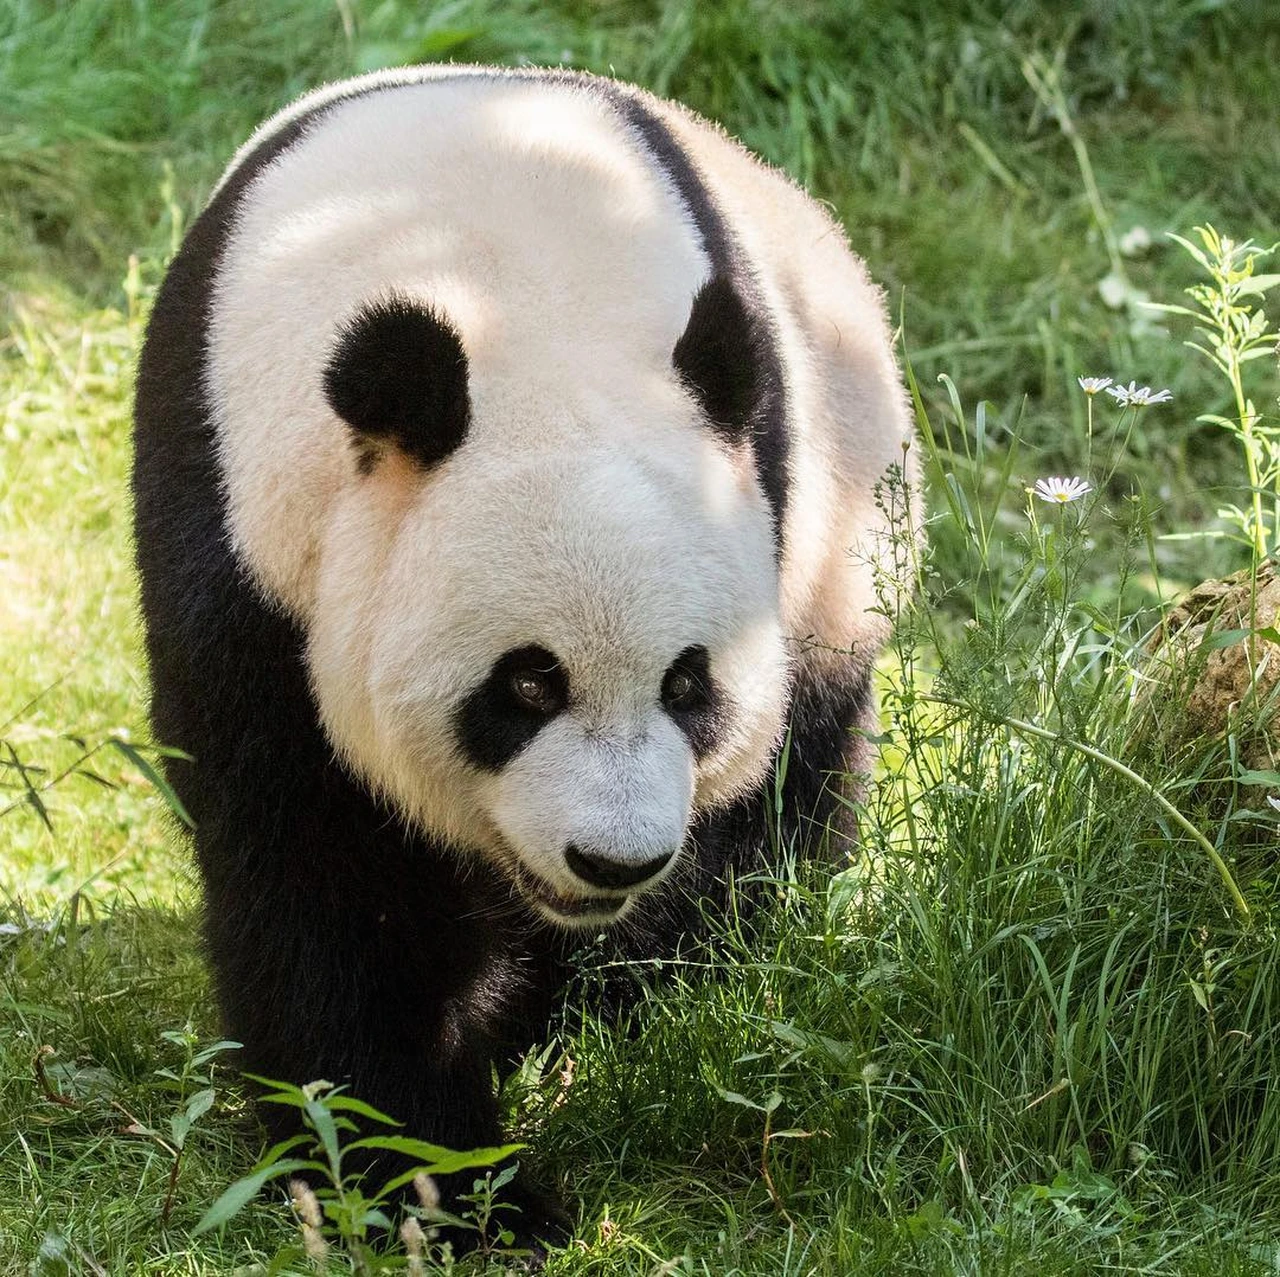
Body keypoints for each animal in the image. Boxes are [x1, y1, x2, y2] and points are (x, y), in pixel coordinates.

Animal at [132, 62, 921, 1238]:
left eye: (688, 683)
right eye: (526, 683)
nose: (612, 861)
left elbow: (724, 837)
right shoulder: (240, 534)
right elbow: (320, 875)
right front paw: (437, 1183)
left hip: (840, 536)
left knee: (798, 782)